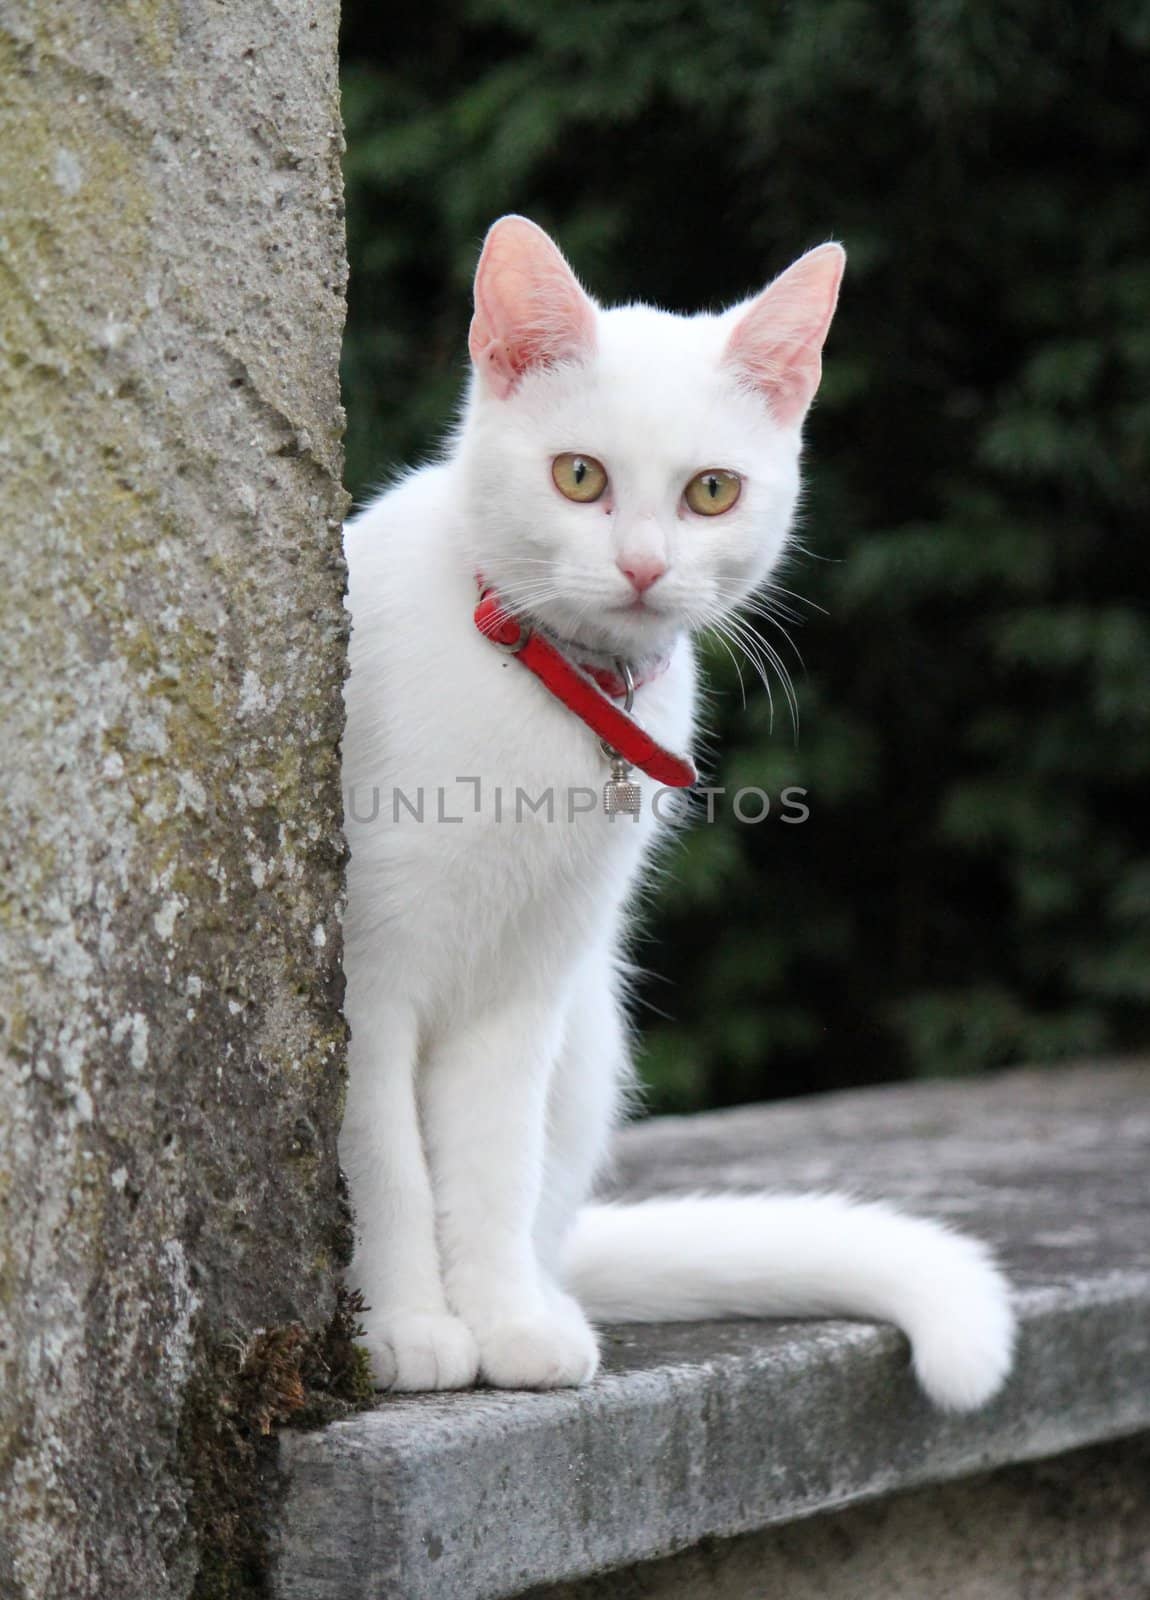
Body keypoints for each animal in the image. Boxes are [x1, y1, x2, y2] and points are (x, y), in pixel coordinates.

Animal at [339, 216, 1017, 1414]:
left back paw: (546, 1298)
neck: (547, 683)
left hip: (586, 1027)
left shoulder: (525, 986)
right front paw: (411, 1326)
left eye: (710, 492)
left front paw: (503, 1321)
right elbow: (385, 1163)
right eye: (578, 477)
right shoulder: (365, 982)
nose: (645, 566)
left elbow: (490, 1159)